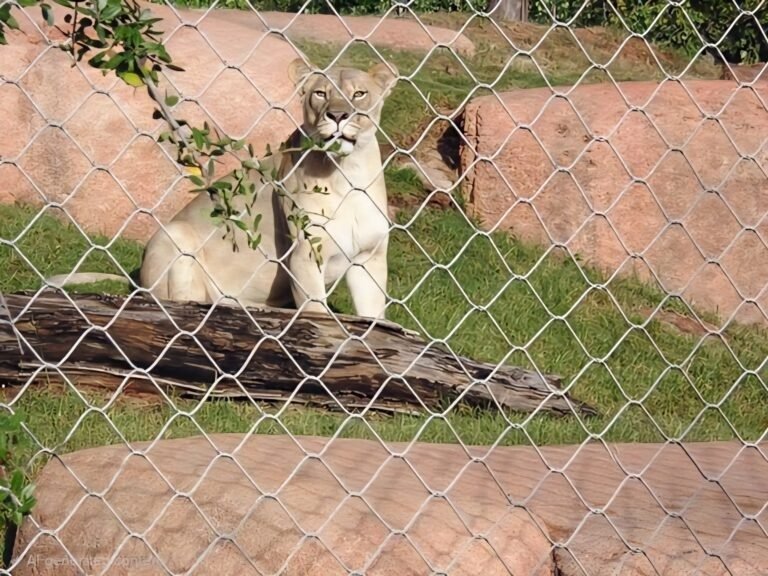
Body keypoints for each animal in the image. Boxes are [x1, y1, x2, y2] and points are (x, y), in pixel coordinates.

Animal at [47, 58, 398, 319]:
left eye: (359, 94)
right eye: (321, 94)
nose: (338, 115)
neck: (348, 173)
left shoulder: (369, 258)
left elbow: (373, 317)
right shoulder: (304, 253)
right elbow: (317, 314)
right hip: (176, 235)